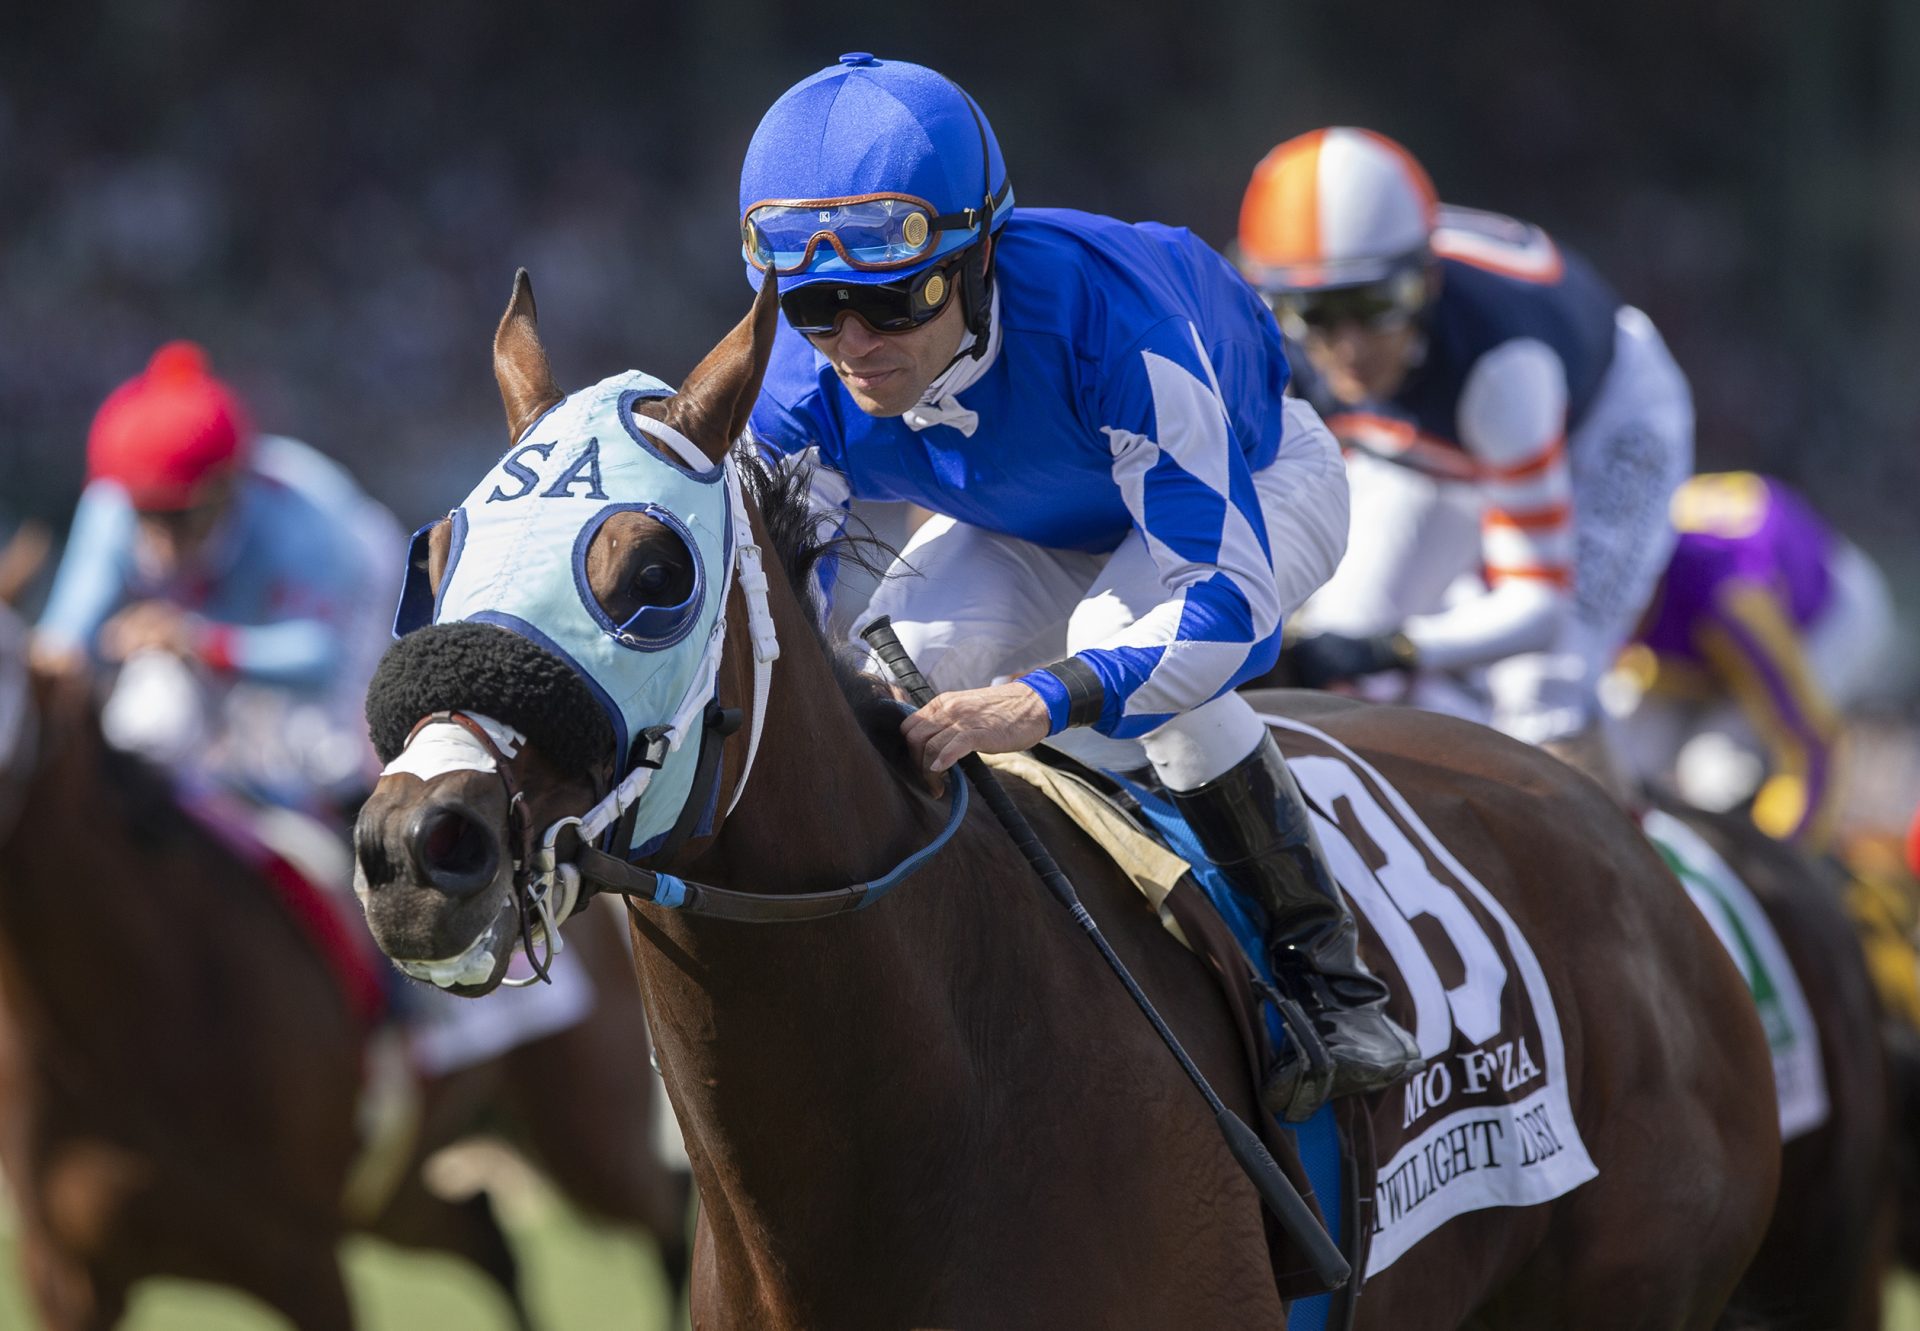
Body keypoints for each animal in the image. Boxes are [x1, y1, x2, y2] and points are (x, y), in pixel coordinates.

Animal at [0, 591, 691, 1329]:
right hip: (401, 1191)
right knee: (486, 1234)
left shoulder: (303, 1256)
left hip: (588, 1132)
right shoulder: (63, 1272)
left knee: (661, 1211)